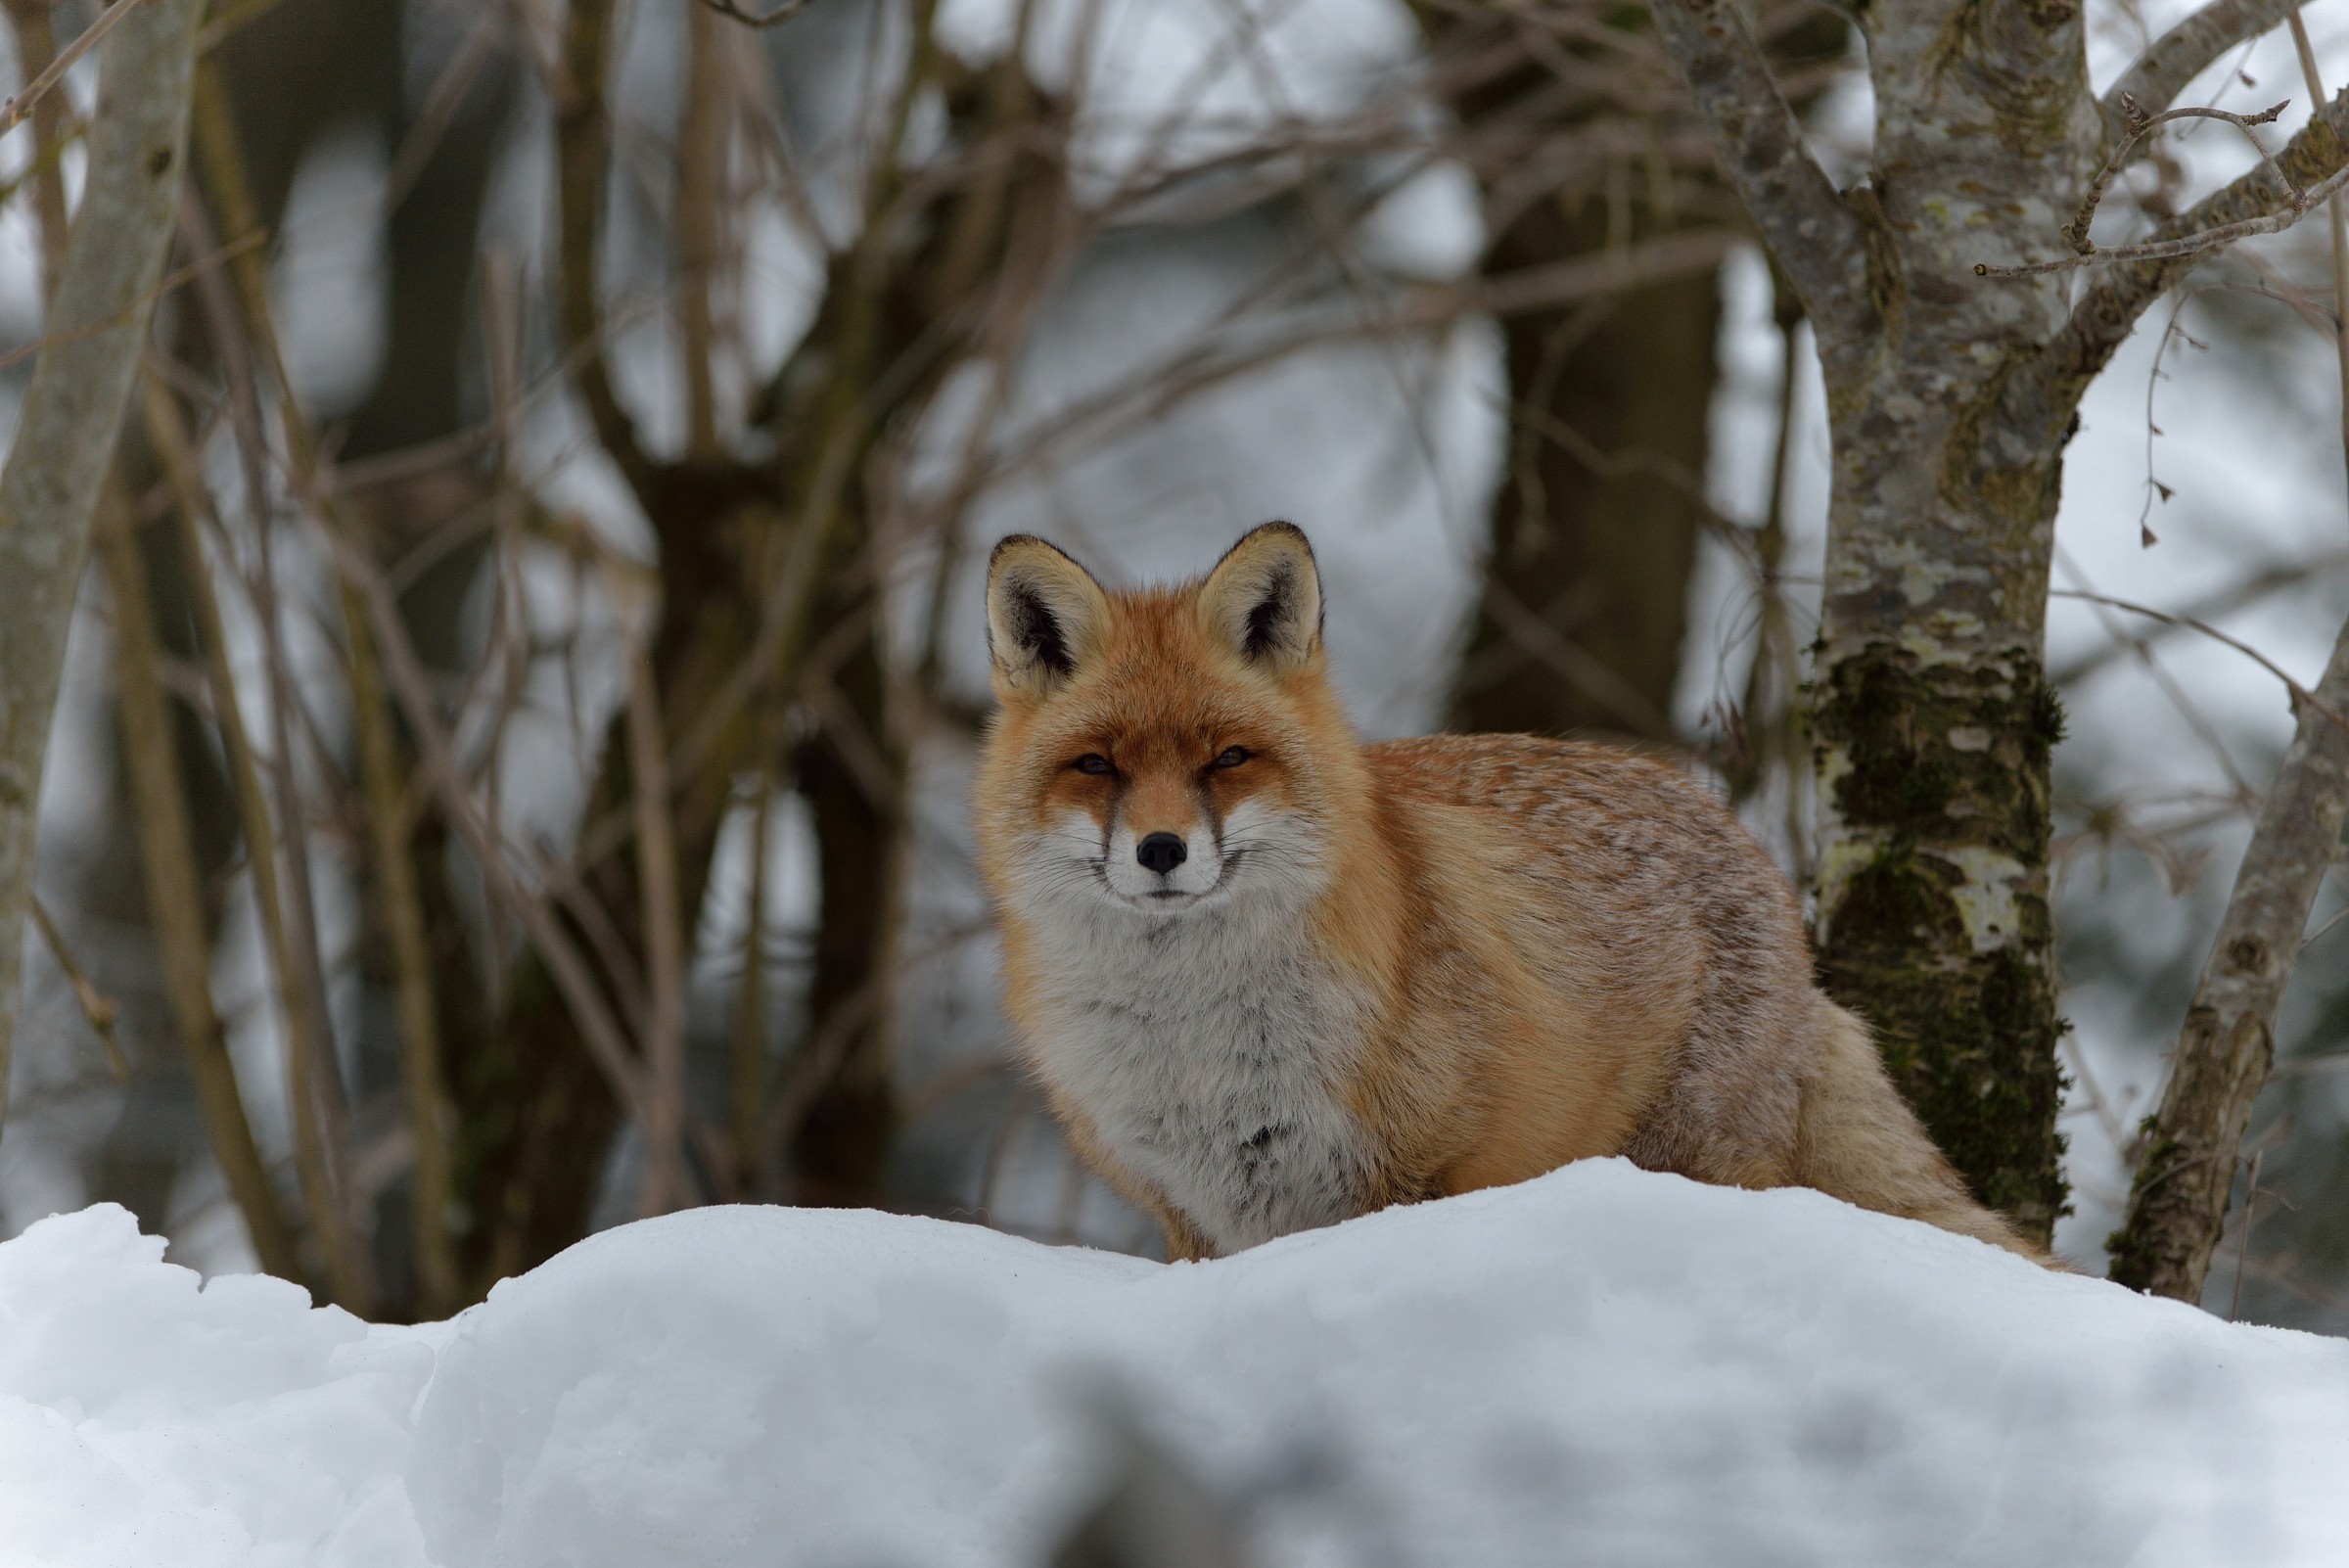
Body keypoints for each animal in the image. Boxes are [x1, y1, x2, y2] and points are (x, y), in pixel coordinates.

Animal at [973, 520, 2051, 1265]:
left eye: (1228, 758)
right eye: (1097, 766)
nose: (1161, 850)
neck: (1192, 1049)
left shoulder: (1413, 1172)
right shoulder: (1193, 1213)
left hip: (1686, 1152)